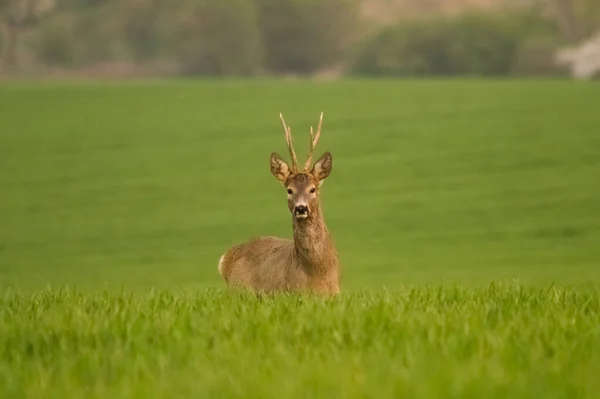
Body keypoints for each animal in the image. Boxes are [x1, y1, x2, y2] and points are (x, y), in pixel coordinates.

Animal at [218, 113, 340, 296]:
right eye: (289, 190)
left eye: (313, 189)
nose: (301, 208)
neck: (318, 273)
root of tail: (226, 259)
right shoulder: (292, 292)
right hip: (239, 290)